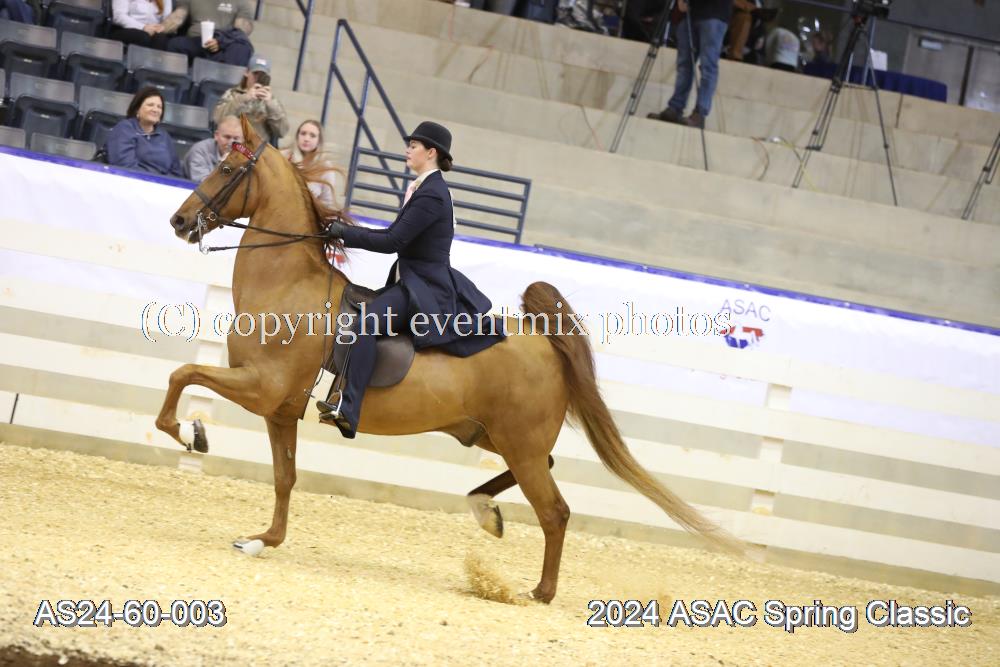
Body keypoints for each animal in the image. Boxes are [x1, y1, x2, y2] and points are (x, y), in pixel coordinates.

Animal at [159, 115, 742, 603]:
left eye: (227, 167)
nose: (180, 221)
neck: (288, 287)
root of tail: (542, 341)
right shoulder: (280, 408)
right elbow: (285, 477)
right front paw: (264, 539)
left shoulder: (262, 385)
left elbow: (182, 374)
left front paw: (193, 434)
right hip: (494, 435)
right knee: (541, 479)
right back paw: (487, 512)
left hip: (519, 444)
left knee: (555, 511)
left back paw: (537, 591)